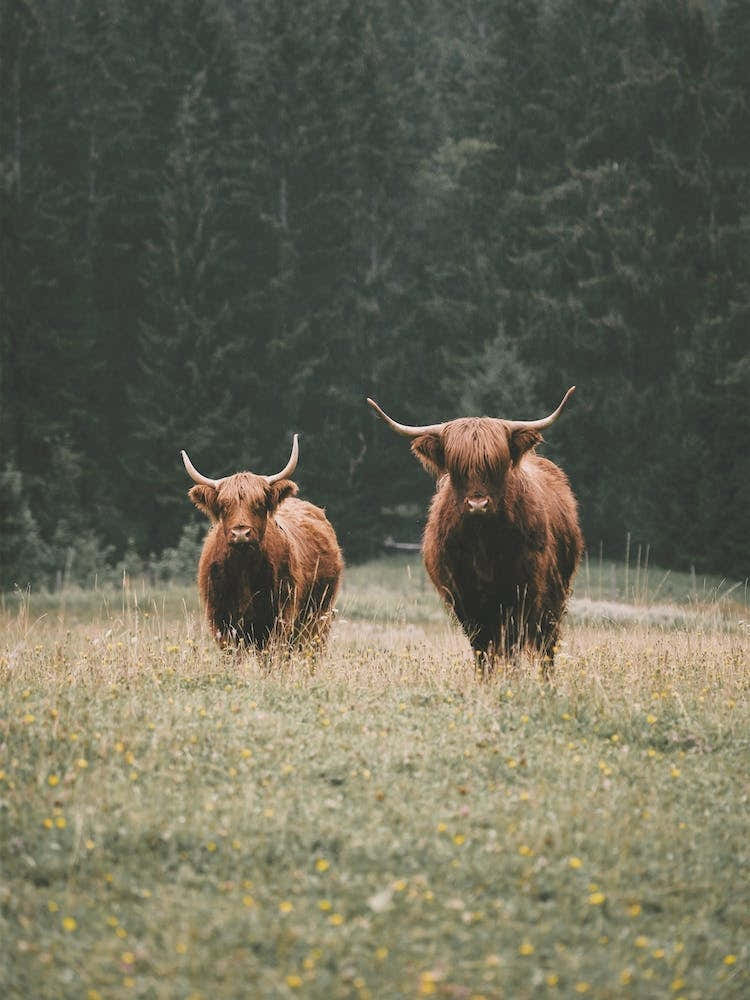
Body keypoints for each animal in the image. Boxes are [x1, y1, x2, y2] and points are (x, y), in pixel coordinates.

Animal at [181, 436, 343, 651]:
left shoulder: (279, 616)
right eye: (224, 505)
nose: (241, 533)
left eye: (259, 504)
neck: (243, 569)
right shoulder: (220, 619)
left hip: (319, 615)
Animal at [367, 388, 583, 672]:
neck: (484, 544)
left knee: (546, 643)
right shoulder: (465, 598)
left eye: (496, 465)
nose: (477, 504)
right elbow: (481, 647)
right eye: (456, 468)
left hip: (555, 594)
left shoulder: (521, 593)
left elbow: (512, 643)